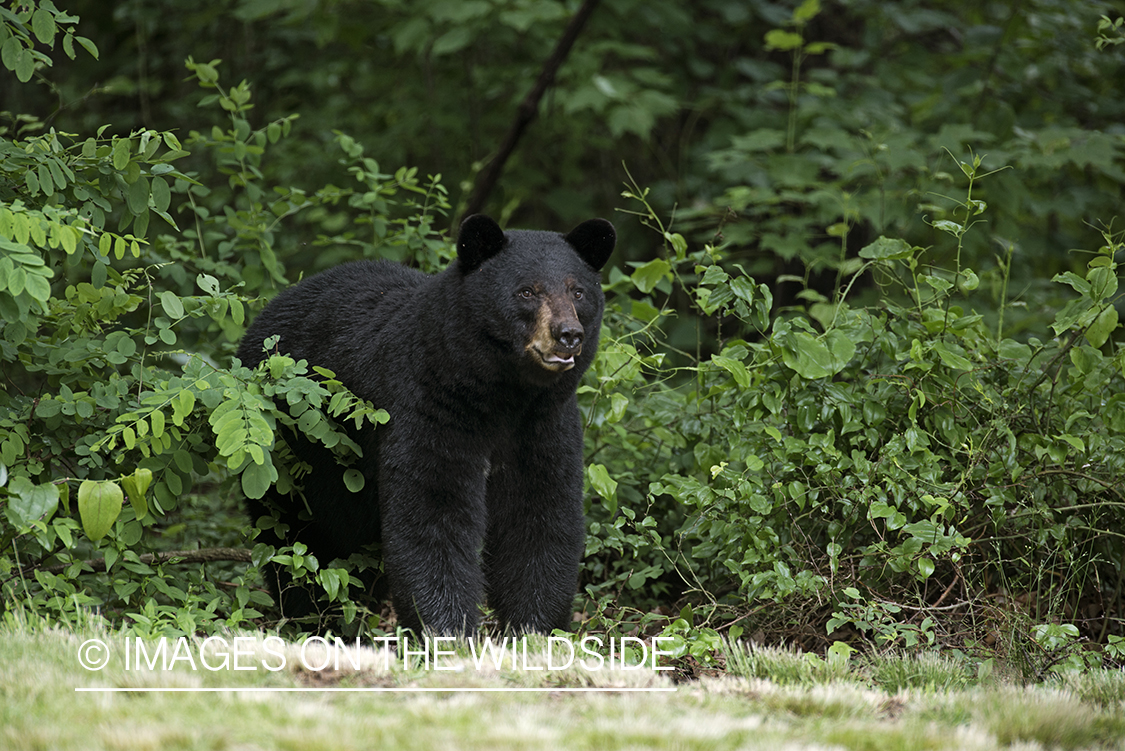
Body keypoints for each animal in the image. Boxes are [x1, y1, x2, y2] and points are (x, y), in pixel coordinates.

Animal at [236, 213, 616, 638]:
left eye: (578, 291)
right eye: (527, 292)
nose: (568, 335)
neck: (502, 398)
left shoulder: (543, 425)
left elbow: (539, 513)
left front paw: (533, 630)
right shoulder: (429, 406)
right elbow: (432, 512)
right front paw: (448, 631)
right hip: (289, 451)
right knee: (296, 531)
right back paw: (313, 617)